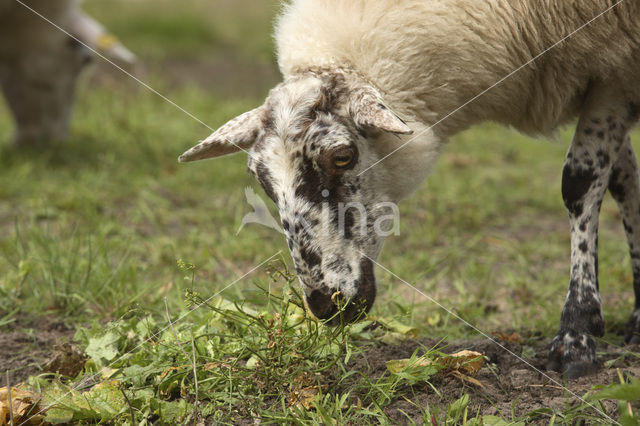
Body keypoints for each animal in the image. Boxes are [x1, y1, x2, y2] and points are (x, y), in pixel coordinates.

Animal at [179, 0, 640, 380]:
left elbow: (580, 184)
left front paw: (577, 335)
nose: (326, 306)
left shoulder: (613, 71)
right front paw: (635, 320)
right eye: (262, 180)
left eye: (343, 156)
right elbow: (623, 182)